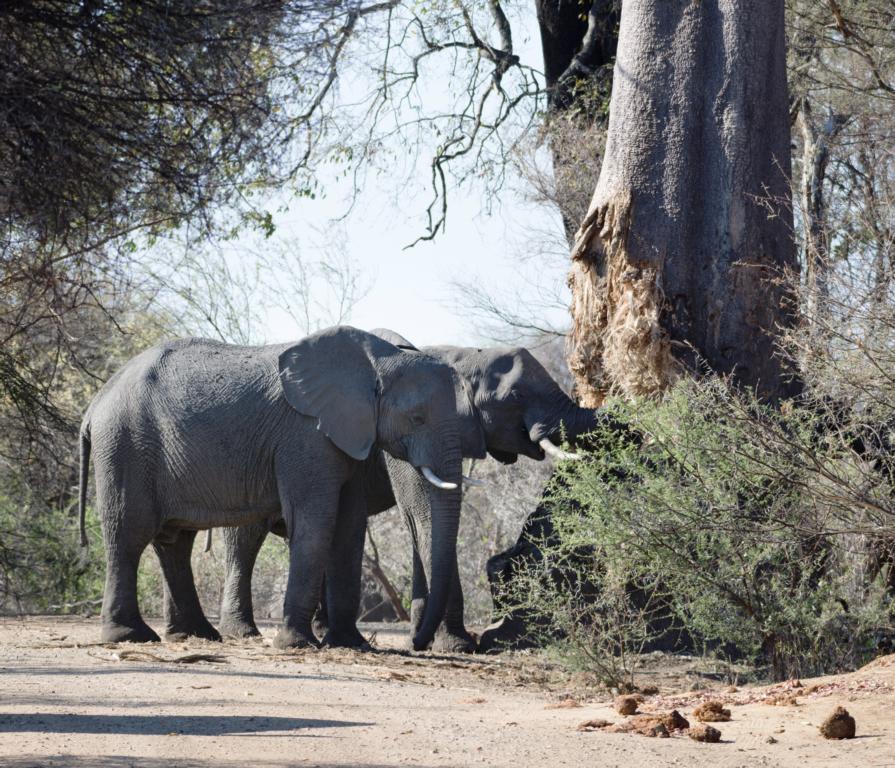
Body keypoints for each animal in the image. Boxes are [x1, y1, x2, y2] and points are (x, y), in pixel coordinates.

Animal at [77, 324, 484, 648]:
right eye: (417, 418)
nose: (416, 643)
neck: (379, 361)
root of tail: (95, 403)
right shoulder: (305, 434)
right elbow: (316, 519)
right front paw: (298, 644)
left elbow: (349, 525)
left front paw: (349, 645)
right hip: (125, 443)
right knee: (130, 531)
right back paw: (131, 636)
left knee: (175, 540)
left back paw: (195, 635)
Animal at [191, 332, 608, 652]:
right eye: (515, 397)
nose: (415, 643)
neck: (457, 352)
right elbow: (423, 516)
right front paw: (455, 646)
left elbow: (422, 523)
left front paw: (432, 638)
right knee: (245, 538)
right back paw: (243, 633)